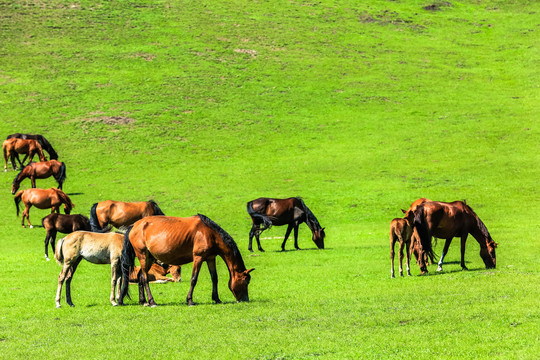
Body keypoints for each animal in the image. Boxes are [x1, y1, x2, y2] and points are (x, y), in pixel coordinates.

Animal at [118, 214, 253, 306]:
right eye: (246, 281)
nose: (245, 300)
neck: (209, 233)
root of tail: (134, 226)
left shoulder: (210, 258)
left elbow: (214, 278)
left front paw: (216, 298)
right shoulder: (198, 258)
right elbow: (194, 279)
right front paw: (190, 300)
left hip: (149, 258)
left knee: (141, 276)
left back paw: (143, 301)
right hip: (143, 256)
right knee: (145, 278)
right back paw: (151, 301)